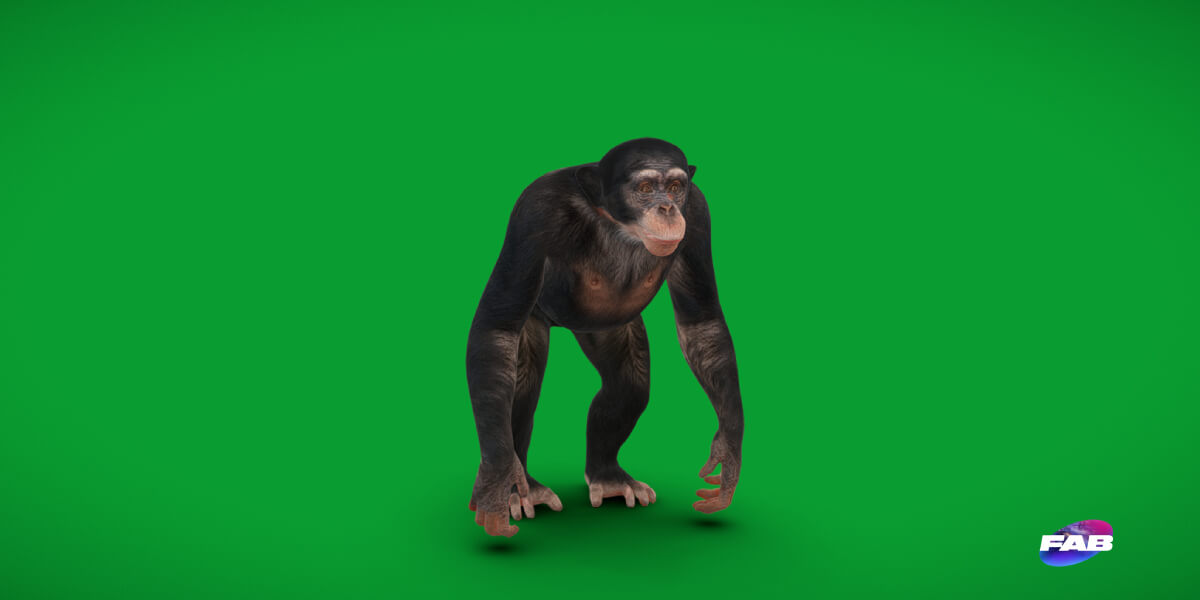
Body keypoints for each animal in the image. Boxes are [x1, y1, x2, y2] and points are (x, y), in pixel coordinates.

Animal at [466, 138, 743, 537]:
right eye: (646, 188)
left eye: (676, 187)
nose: (667, 207)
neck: (615, 220)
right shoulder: (535, 213)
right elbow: (497, 328)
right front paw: (496, 484)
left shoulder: (698, 215)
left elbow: (702, 324)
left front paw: (728, 450)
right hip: (536, 319)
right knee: (518, 384)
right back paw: (522, 490)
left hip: (606, 329)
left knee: (627, 386)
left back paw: (609, 478)